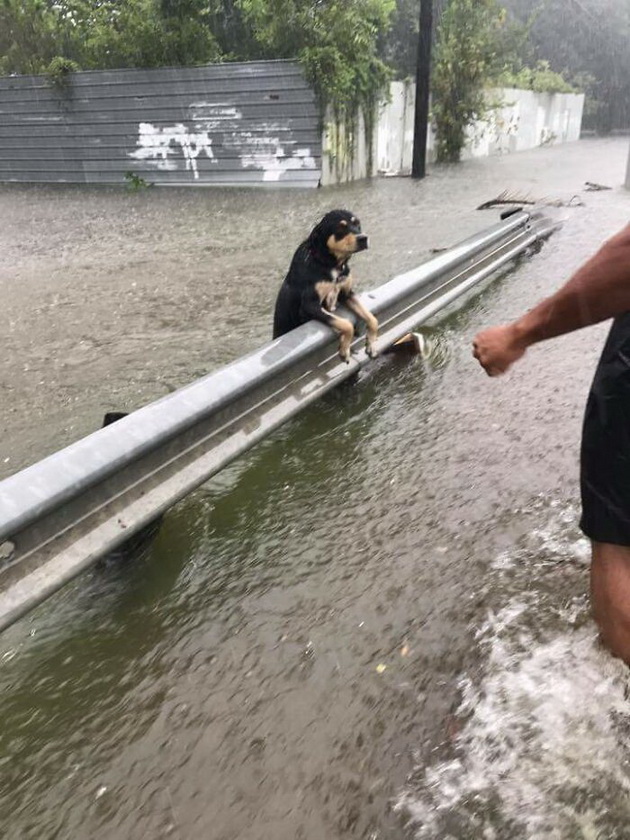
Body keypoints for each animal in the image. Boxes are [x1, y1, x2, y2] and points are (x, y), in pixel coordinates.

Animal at [272, 209, 380, 360]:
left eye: (357, 224)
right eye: (340, 228)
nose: (363, 238)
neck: (330, 263)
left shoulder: (347, 294)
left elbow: (372, 318)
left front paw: (371, 343)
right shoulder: (309, 306)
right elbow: (346, 324)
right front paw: (344, 349)